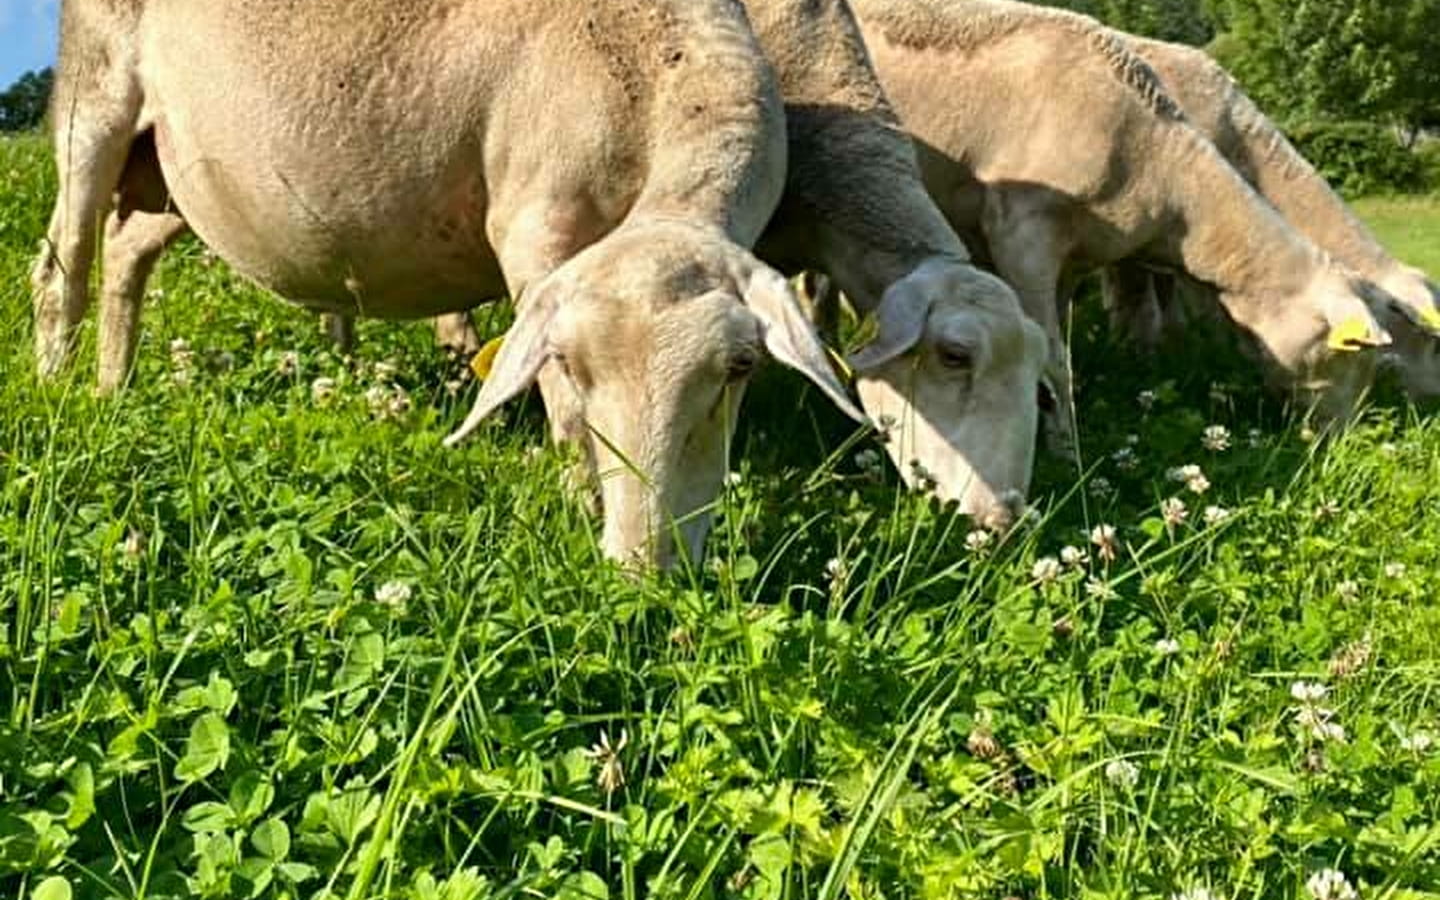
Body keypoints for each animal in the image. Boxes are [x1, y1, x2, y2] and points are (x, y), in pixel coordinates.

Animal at [33, 0, 858, 564]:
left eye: (741, 367)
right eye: (570, 361)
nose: (644, 571)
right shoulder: (532, 231)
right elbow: (564, 415)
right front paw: (578, 507)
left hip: (179, 175)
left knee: (125, 252)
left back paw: (112, 386)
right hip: (94, 97)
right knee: (61, 264)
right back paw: (55, 388)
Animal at [846, 0, 1388, 452]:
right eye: (1345, 356)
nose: (1344, 447)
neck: (1160, 167)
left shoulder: (1072, 262)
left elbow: (1063, 351)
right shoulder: (1022, 233)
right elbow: (1051, 359)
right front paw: (1066, 453)